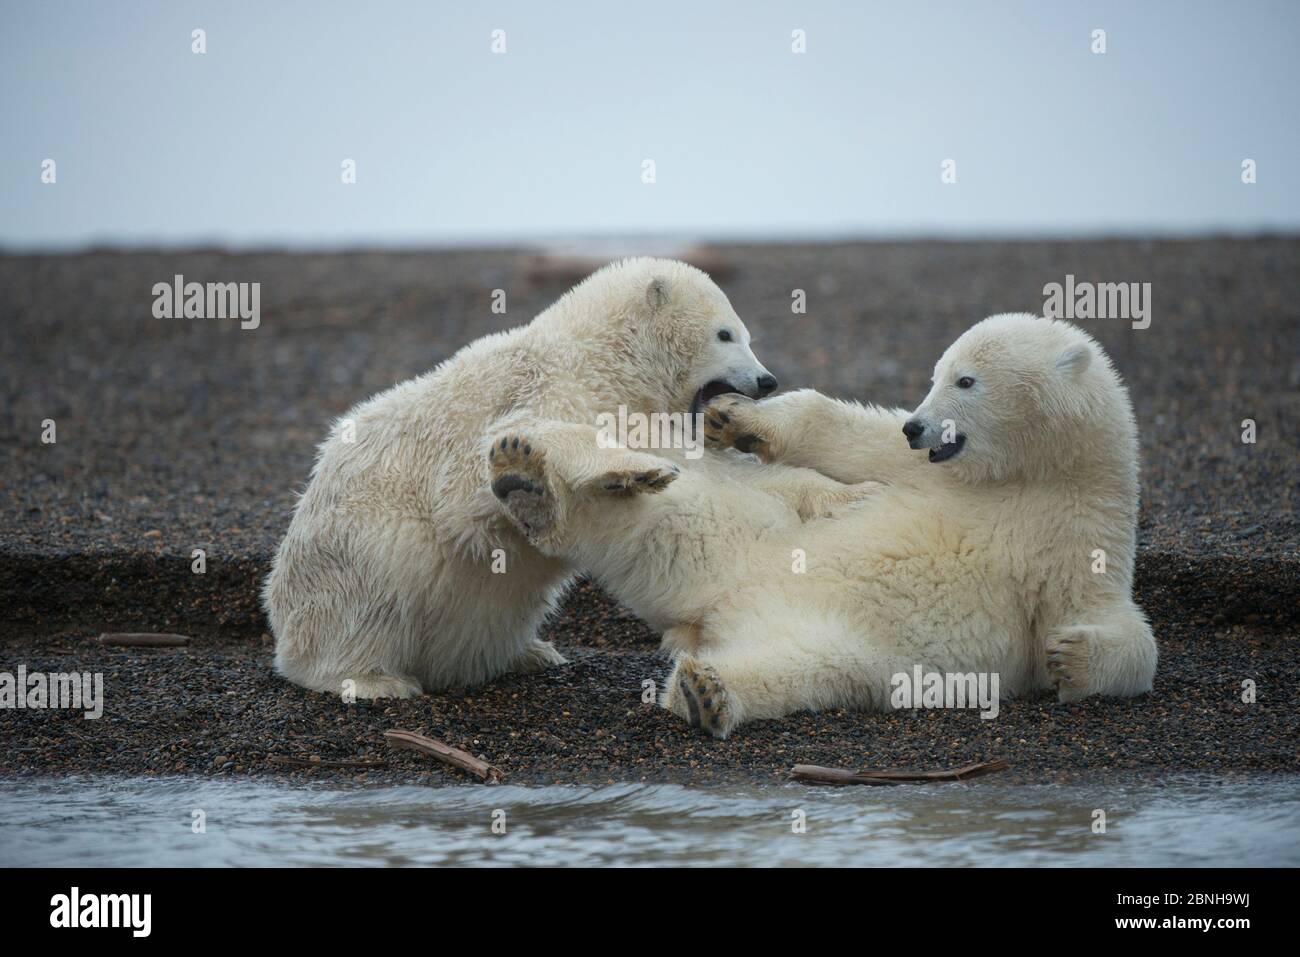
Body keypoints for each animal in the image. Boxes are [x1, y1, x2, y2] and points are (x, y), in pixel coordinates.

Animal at [488, 310, 1159, 738]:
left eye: (966, 380)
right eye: (936, 375)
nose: (918, 425)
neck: (1023, 478)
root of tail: (715, 610)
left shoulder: (1081, 530)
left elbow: (1107, 618)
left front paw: (1070, 654)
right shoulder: (928, 473)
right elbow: (848, 436)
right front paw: (737, 419)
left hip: (830, 635)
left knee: (793, 669)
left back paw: (707, 692)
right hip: (754, 535)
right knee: (669, 514)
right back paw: (526, 477)